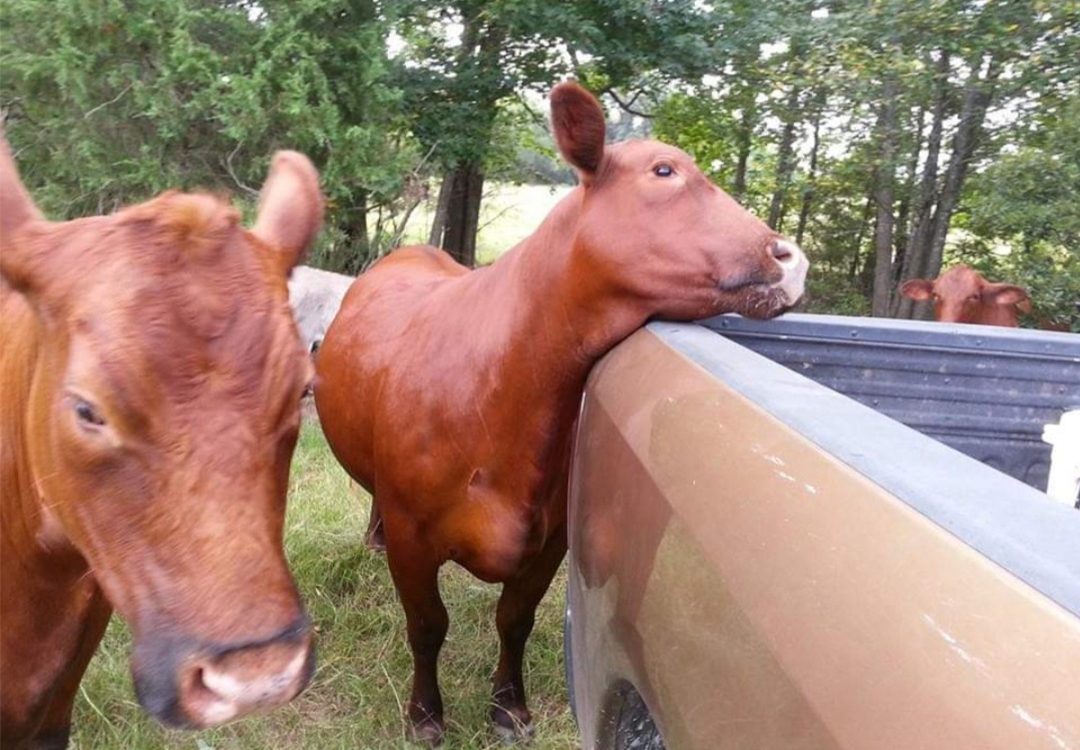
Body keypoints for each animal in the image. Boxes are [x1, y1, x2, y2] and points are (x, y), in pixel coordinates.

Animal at [313, 83, 812, 747]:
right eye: (663, 171)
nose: (790, 256)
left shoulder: (552, 537)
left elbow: (514, 619)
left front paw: (508, 709)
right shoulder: (413, 536)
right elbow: (427, 625)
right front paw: (425, 715)